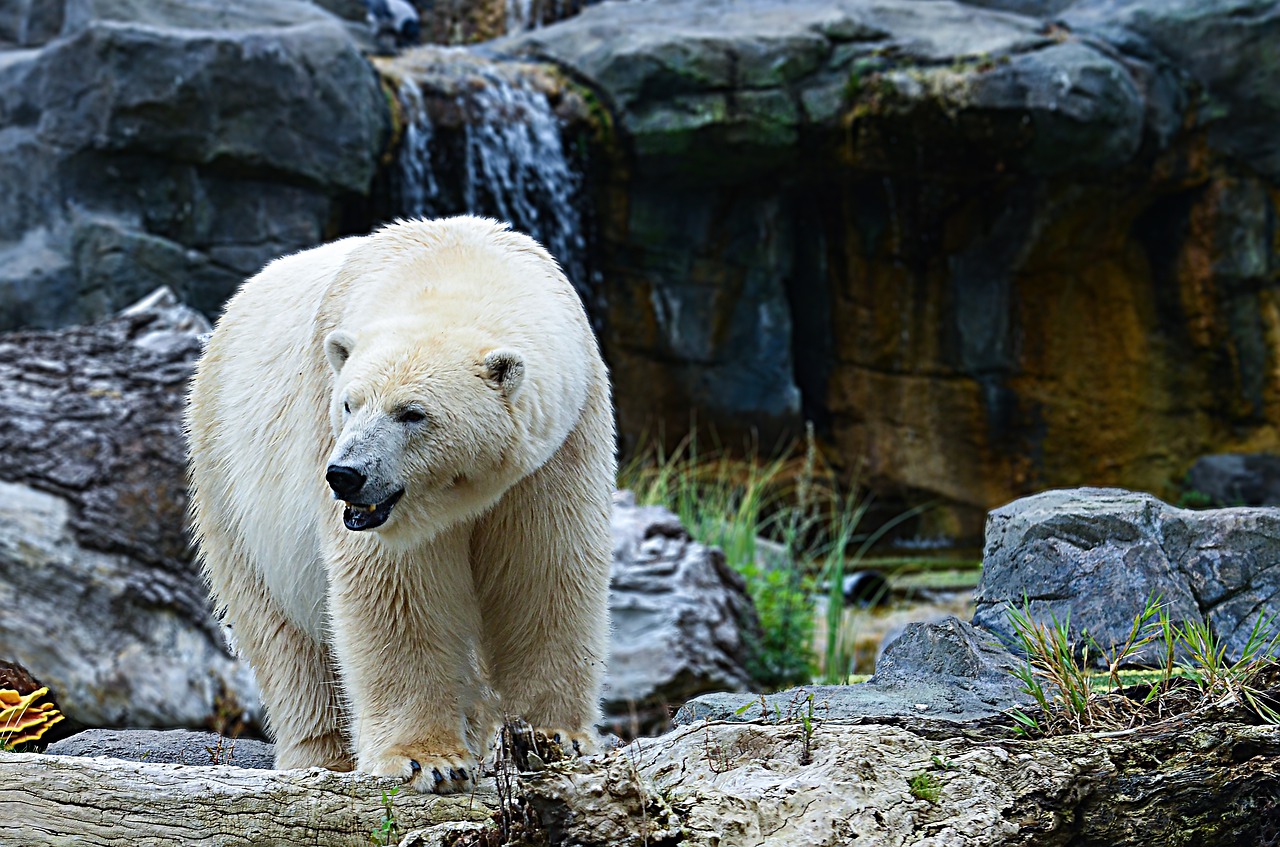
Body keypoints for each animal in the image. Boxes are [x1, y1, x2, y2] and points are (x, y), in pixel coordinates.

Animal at [184, 218, 614, 798]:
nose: (345, 475)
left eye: (412, 413)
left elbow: (543, 567)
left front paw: (556, 737)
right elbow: (396, 586)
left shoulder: (562, 439)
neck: (454, 262)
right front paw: (425, 760)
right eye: (349, 403)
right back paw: (323, 754)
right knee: (280, 627)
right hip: (228, 469)